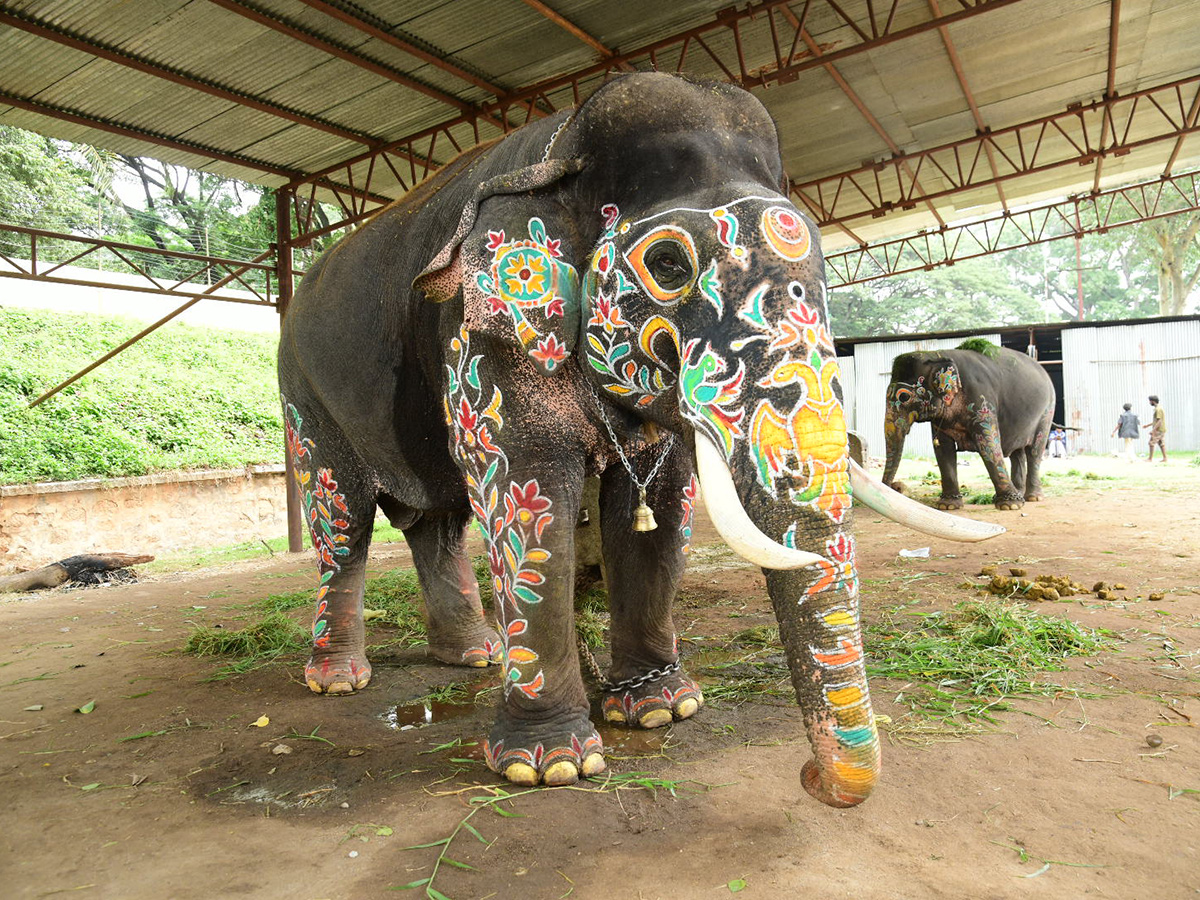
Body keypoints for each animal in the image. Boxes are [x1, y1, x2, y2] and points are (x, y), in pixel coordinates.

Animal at [278, 72, 1001, 807]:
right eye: (668, 264)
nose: (806, 777)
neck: (562, 145)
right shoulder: (480, 336)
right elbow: (528, 494)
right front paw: (549, 767)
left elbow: (657, 503)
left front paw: (661, 709)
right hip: (303, 393)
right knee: (342, 521)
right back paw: (338, 679)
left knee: (438, 524)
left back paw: (473, 655)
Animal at [881, 342, 1055, 511]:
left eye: (904, 397)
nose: (896, 487)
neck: (938, 354)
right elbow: (942, 448)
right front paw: (948, 505)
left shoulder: (982, 400)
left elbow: (988, 445)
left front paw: (1010, 506)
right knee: (1017, 453)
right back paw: (1019, 493)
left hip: (1047, 411)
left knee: (1035, 451)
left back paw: (1032, 497)